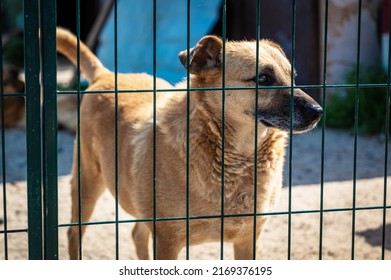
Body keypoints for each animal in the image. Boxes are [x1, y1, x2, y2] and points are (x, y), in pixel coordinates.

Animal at [56, 27, 324, 260]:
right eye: (264, 78)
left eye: (293, 77)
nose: (318, 112)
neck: (237, 159)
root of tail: (107, 74)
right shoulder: (167, 241)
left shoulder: (248, 240)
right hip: (87, 181)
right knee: (73, 232)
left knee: (137, 234)